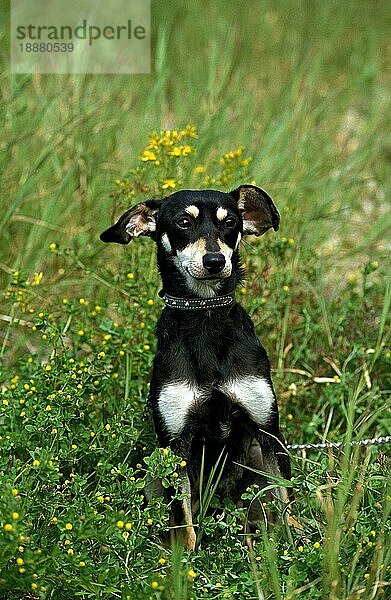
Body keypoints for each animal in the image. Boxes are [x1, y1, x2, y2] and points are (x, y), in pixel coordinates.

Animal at [99, 185, 292, 552]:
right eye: (183, 222)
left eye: (230, 222)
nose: (215, 261)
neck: (205, 318)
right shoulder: (176, 444)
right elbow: (183, 524)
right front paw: (186, 564)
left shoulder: (267, 431)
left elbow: (286, 501)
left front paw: (298, 548)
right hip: (152, 469)